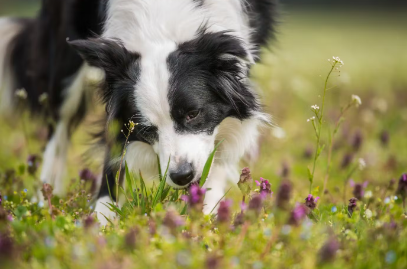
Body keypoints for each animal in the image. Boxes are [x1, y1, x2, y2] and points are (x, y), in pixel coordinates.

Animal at [0, 0, 278, 223]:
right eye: (146, 129)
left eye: (193, 114)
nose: (181, 176)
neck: (162, 25)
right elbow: (114, 151)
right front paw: (101, 220)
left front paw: (206, 213)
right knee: (58, 126)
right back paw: (45, 199)